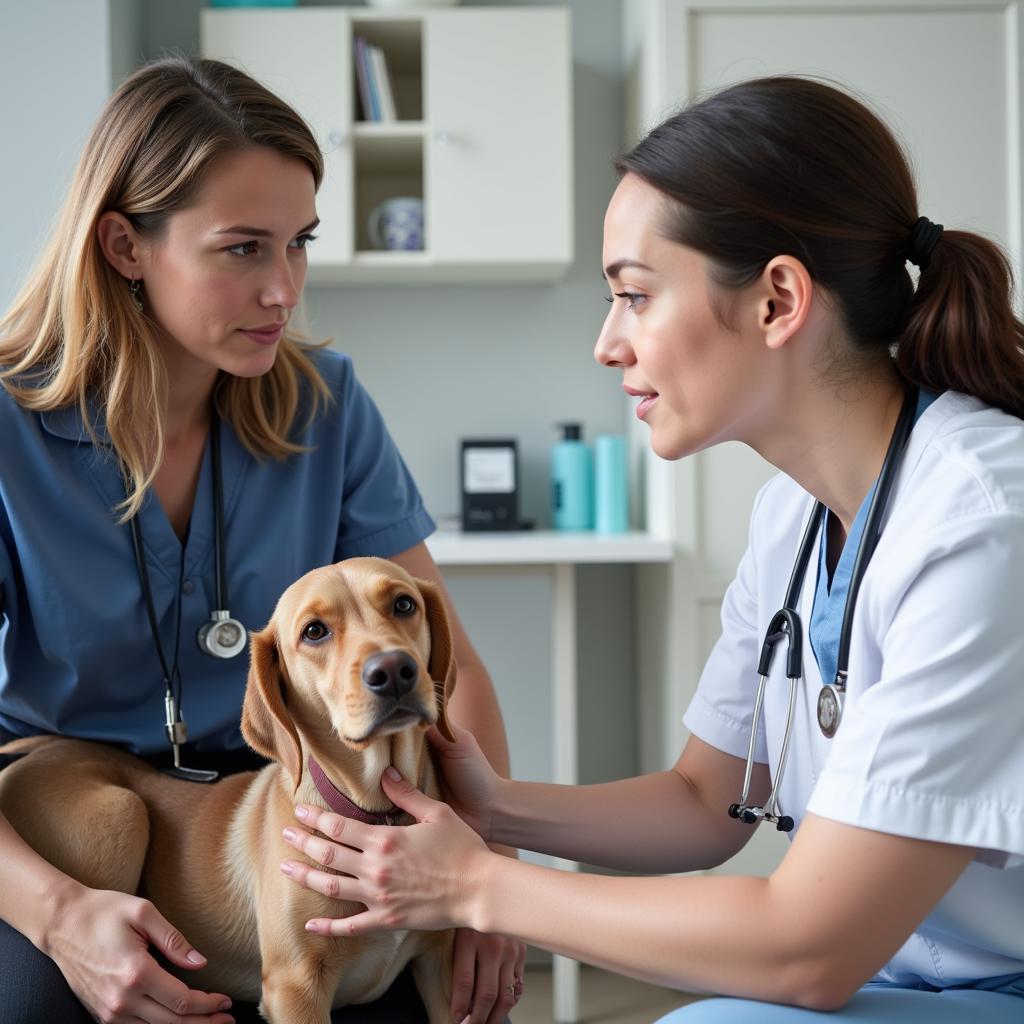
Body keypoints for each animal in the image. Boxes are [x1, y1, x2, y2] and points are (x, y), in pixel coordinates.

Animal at [0, 561, 456, 1024]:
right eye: (314, 631)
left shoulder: (441, 966)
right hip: (122, 812)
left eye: (404, 604)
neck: (377, 812)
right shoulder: (295, 988)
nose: (393, 670)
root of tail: (38, 752)